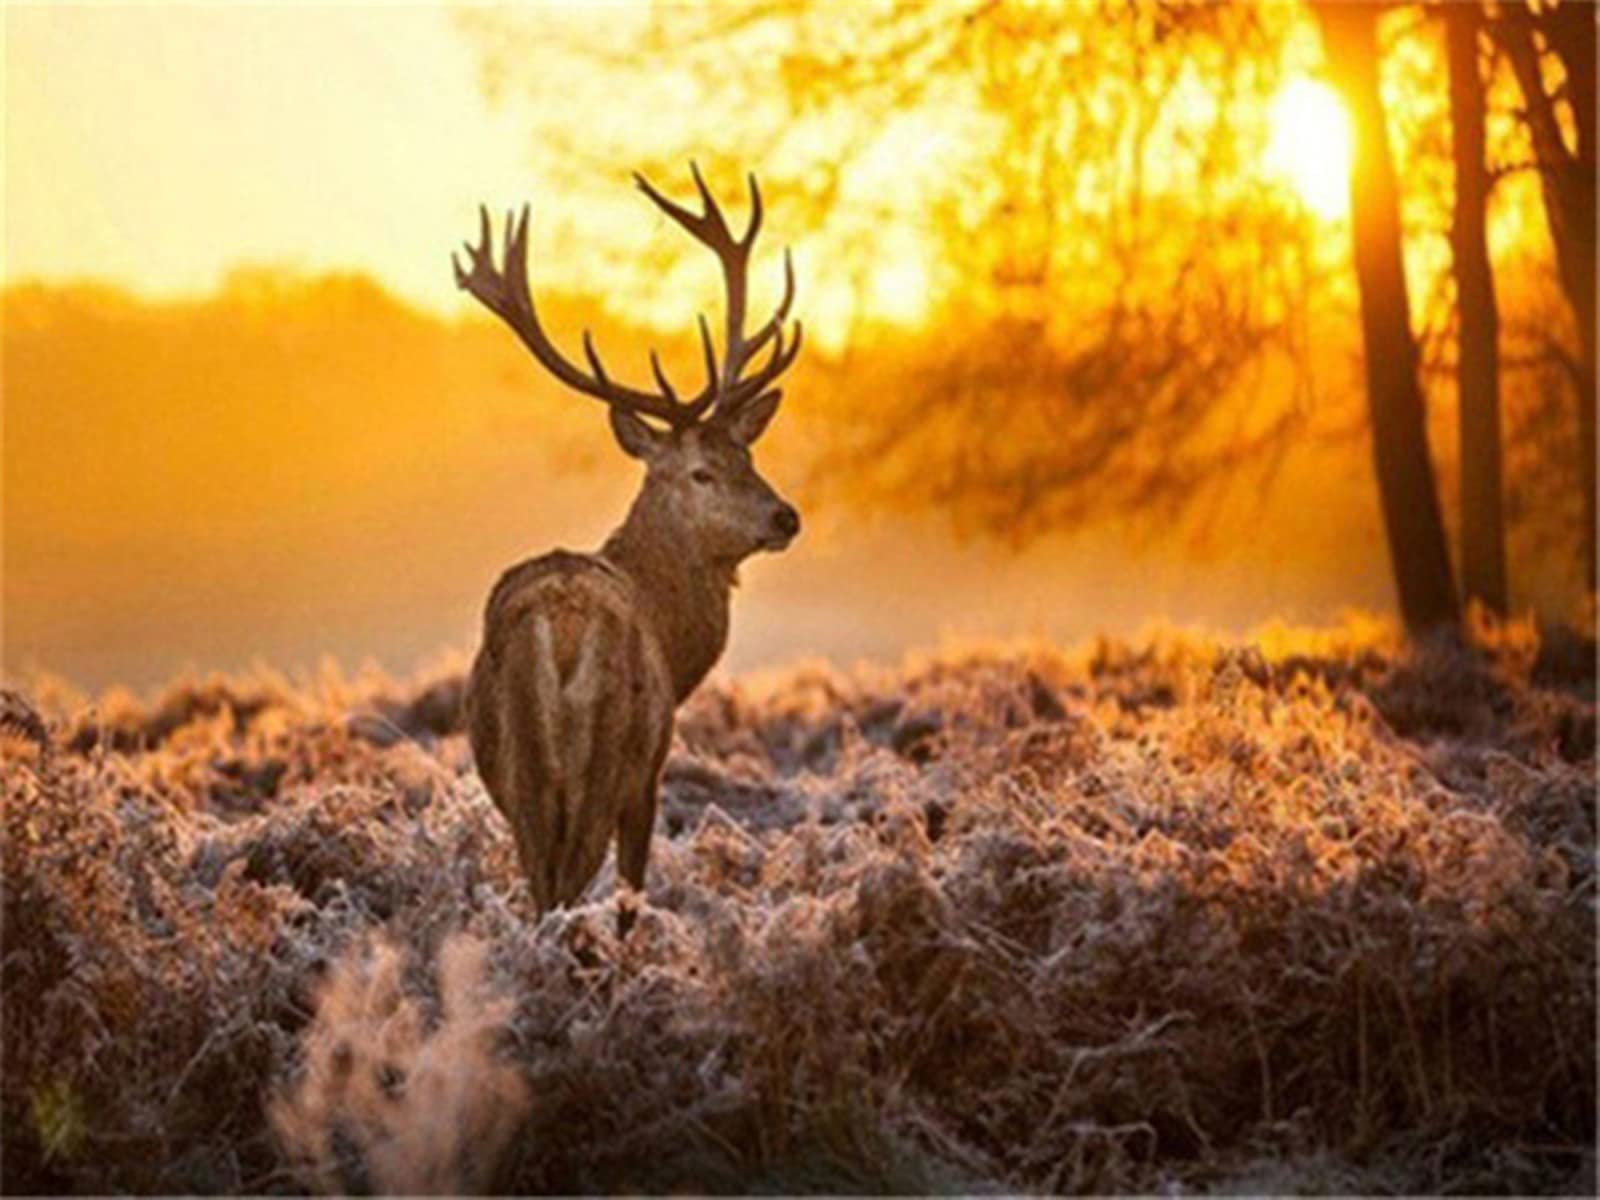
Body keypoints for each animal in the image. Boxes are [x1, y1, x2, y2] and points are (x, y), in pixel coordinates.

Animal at [453, 165, 802, 934]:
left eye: (748, 454)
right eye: (701, 471)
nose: (786, 516)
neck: (676, 643)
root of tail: (560, 630)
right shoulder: (651, 770)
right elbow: (632, 895)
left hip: (521, 775)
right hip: (606, 761)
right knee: (570, 895)